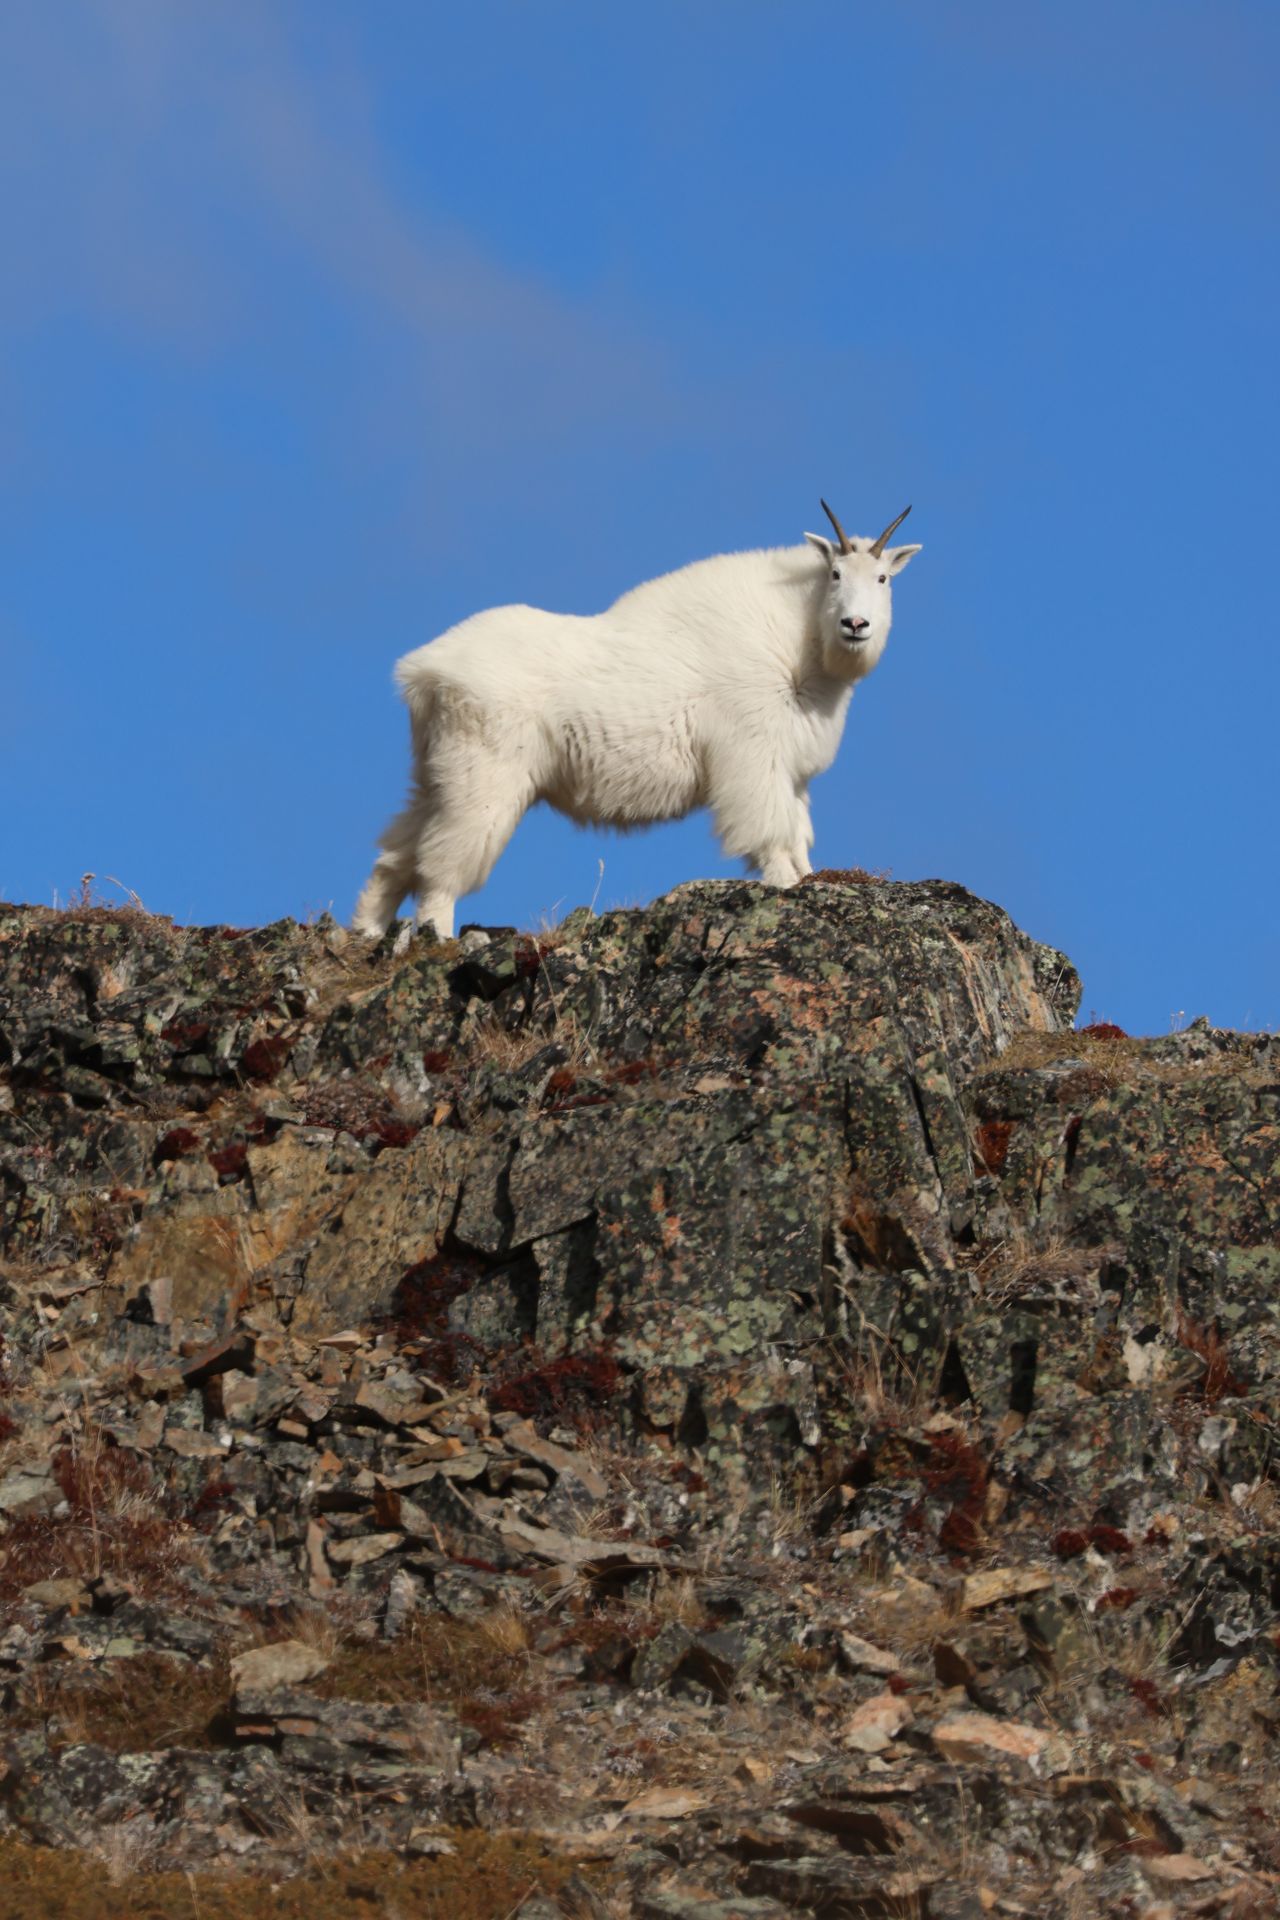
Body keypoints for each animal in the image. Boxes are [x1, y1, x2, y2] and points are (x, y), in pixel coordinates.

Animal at [353, 499, 921, 940]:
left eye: (883, 578)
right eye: (835, 574)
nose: (855, 624)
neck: (797, 641)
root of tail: (423, 670)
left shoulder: (790, 766)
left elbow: (799, 832)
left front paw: (811, 880)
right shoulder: (750, 752)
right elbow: (772, 832)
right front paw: (785, 885)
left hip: (438, 771)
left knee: (396, 853)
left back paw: (366, 932)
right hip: (484, 774)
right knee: (441, 863)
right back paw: (437, 937)